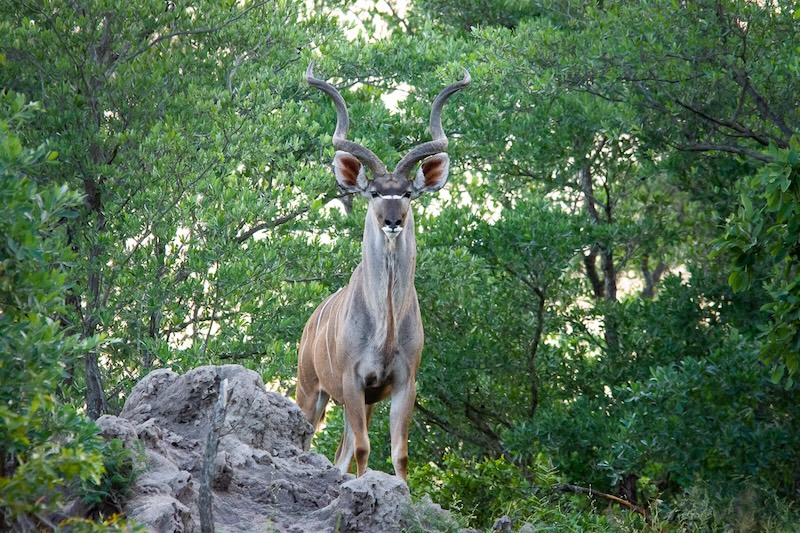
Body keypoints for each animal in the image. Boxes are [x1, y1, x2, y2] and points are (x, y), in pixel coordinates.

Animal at [297, 63, 470, 480]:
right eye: (374, 192)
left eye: (407, 193)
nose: (393, 221)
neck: (386, 324)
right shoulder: (353, 379)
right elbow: (364, 448)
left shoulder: (401, 383)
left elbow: (398, 452)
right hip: (311, 390)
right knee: (312, 439)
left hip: (358, 401)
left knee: (341, 450)